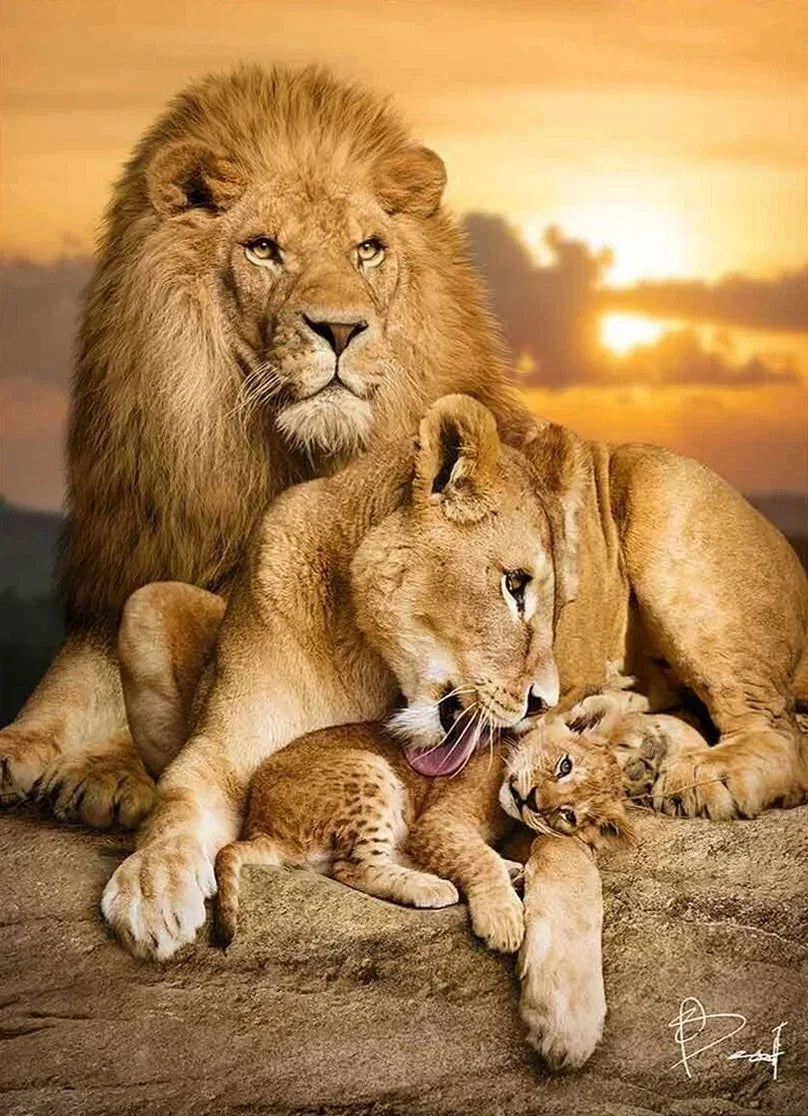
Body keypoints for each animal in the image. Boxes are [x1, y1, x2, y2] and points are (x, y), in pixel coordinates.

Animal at [0, 64, 524, 826]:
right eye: (264, 248)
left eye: (368, 248)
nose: (341, 329)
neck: (277, 455)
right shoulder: (138, 560)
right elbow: (77, 676)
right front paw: (21, 744)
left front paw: (108, 772)